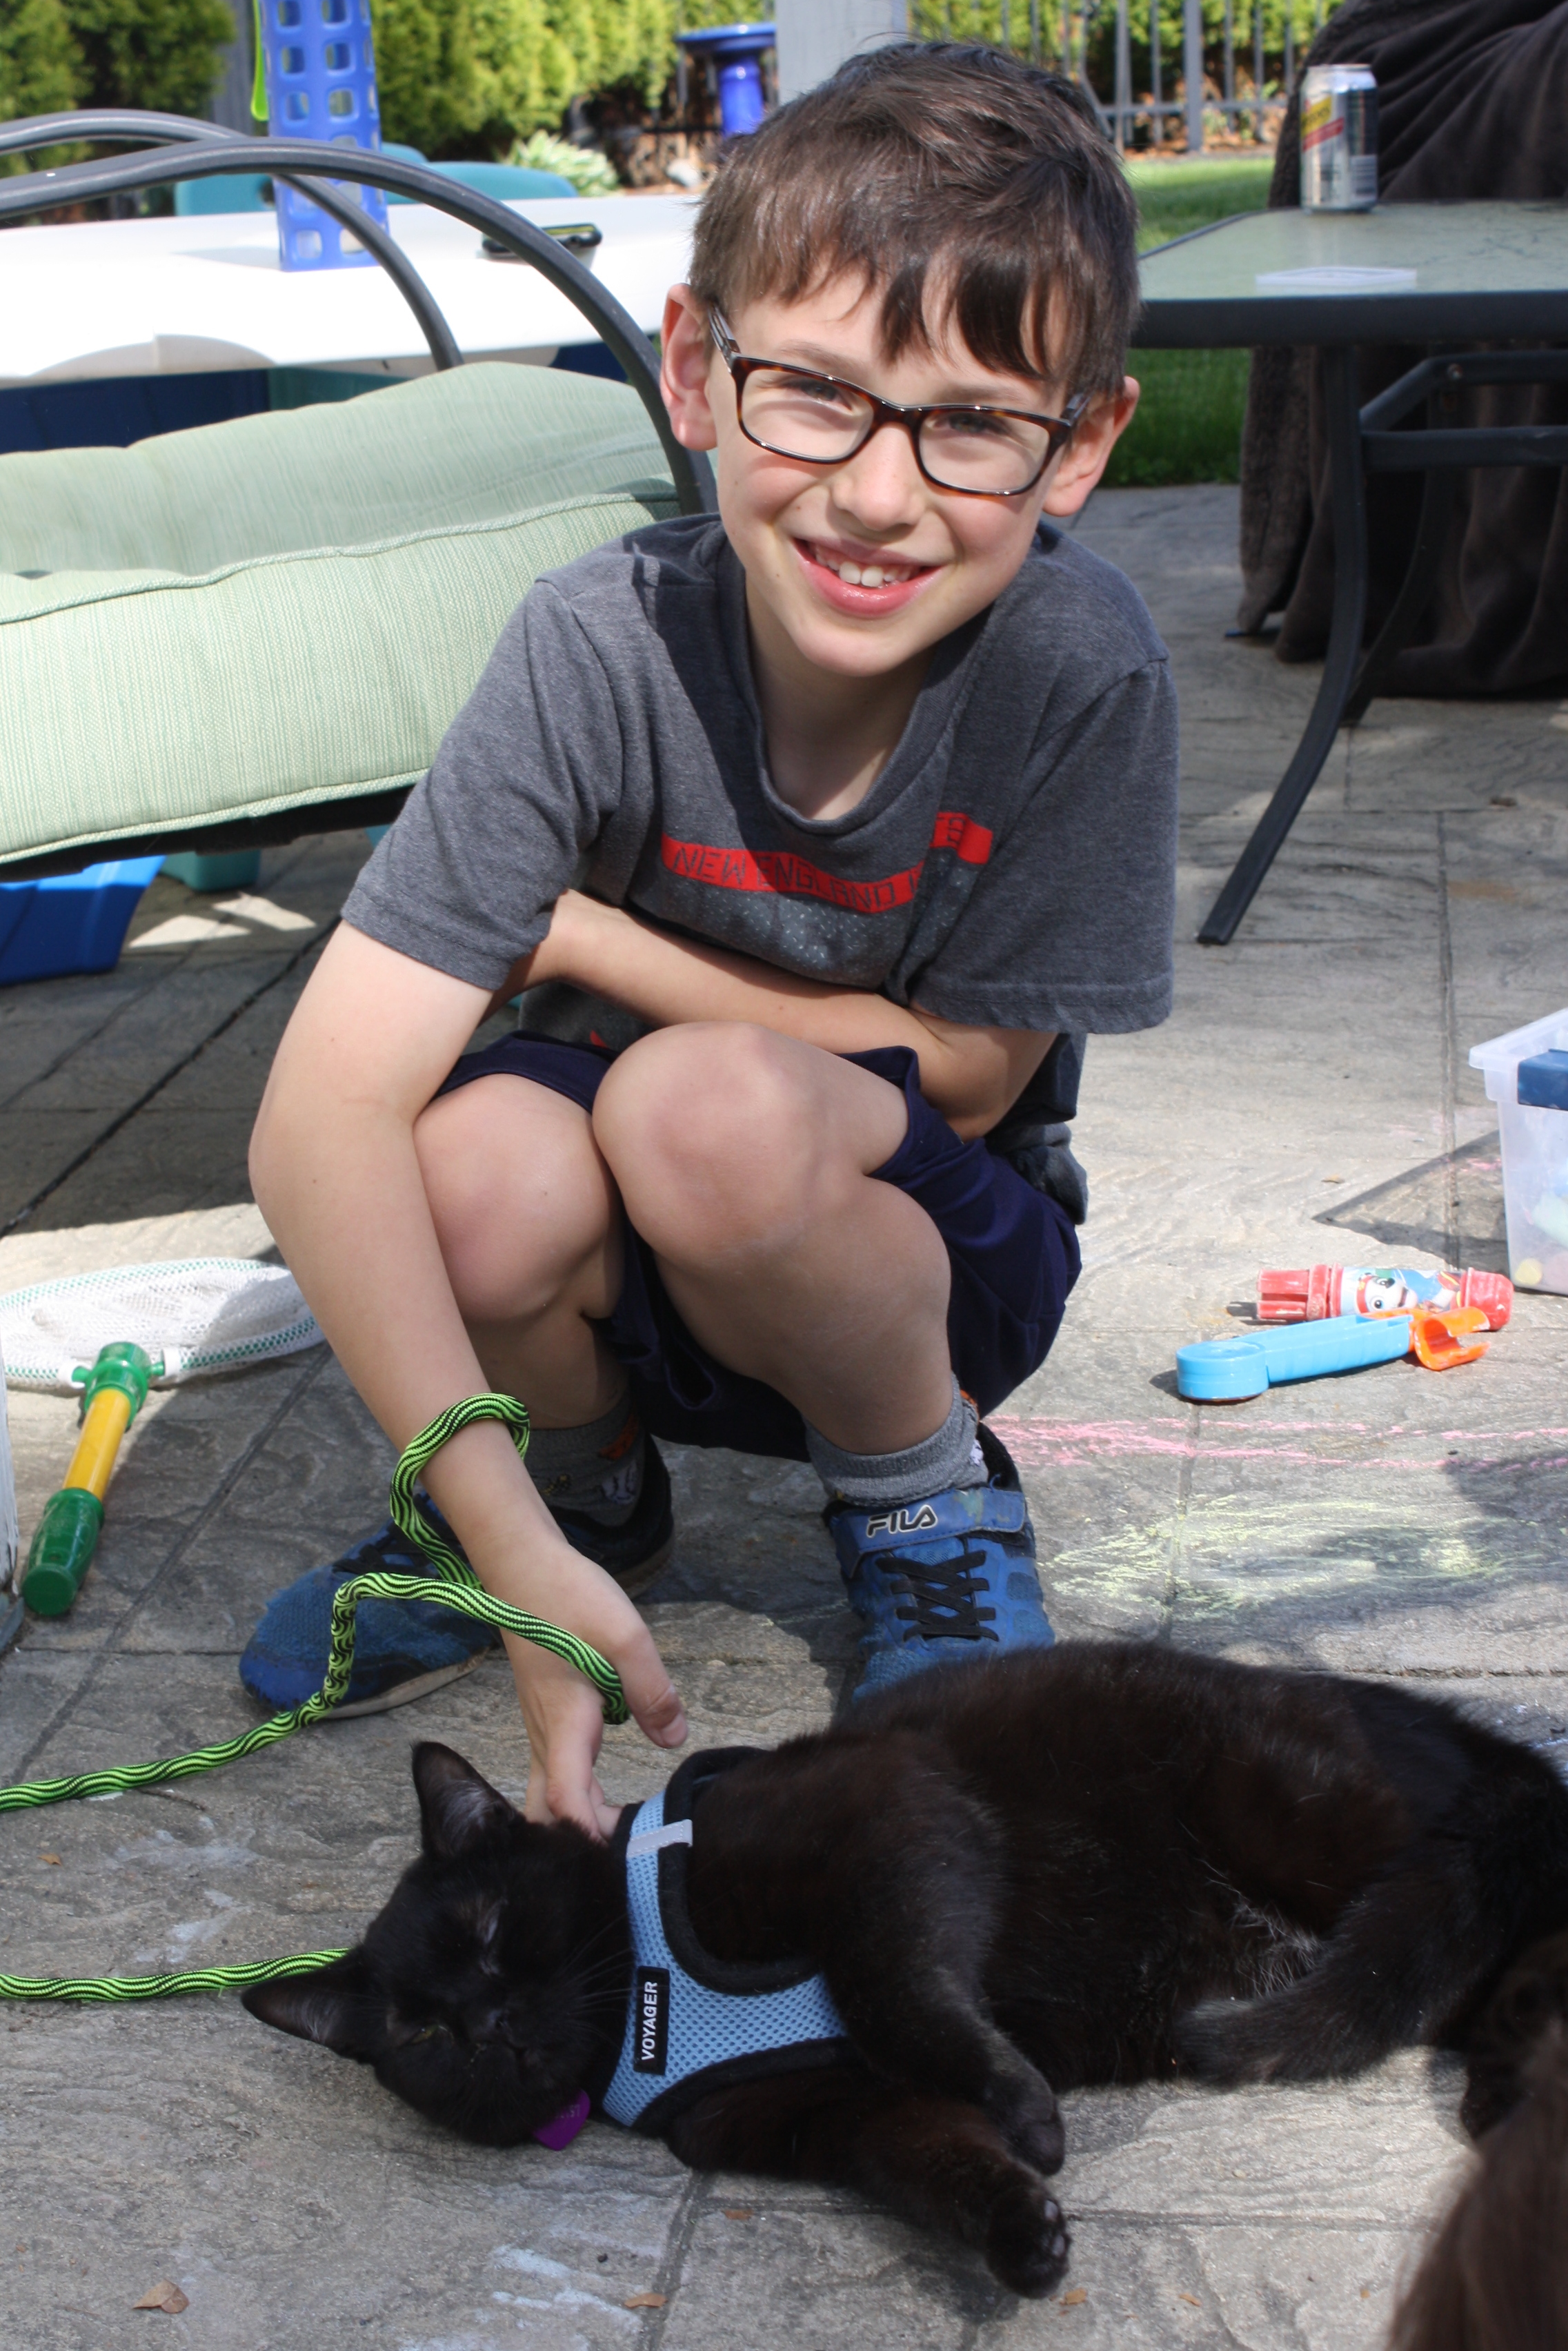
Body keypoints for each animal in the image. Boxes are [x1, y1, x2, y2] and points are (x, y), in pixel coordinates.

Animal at [244, 1641, 1568, 2302]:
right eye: (419, 2036)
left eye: (485, 1927)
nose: (487, 2021)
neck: (647, 2015)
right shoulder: (831, 2118)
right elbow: (935, 2160)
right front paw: (1022, 2234)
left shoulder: (887, 1811)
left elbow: (895, 1980)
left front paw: (1027, 2108)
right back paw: (1510, 2093)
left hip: (1299, 1804)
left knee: (1494, 1896)